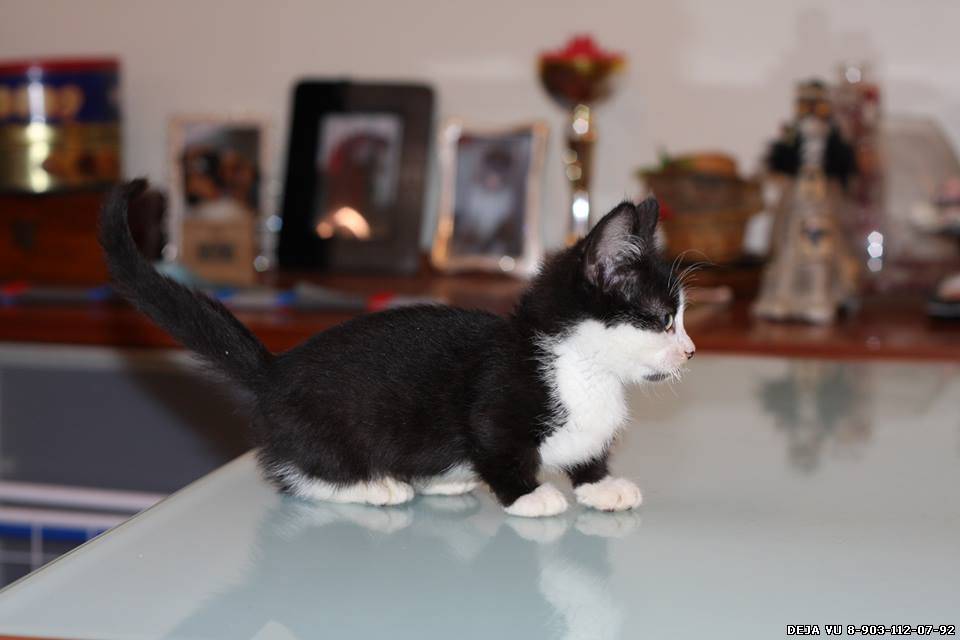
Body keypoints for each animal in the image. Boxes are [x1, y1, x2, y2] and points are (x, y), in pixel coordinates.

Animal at [100, 180, 695, 518]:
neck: (580, 365)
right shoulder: (494, 403)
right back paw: (377, 487)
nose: (690, 351)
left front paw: (601, 485)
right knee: (298, 475)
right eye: (663, 320)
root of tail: (275, 371)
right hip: (332, 428)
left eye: (682, 320)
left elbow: (589, 452)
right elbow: (498, 447)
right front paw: (528, 495)